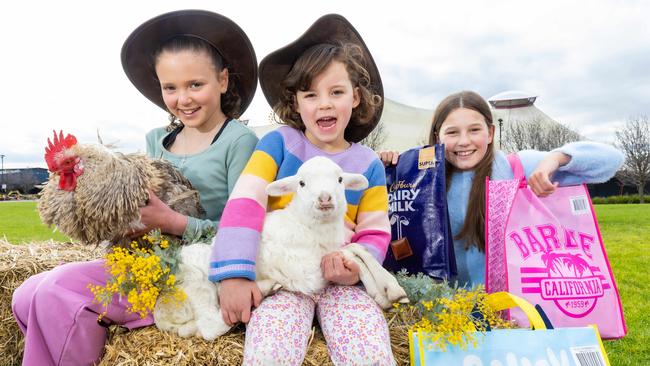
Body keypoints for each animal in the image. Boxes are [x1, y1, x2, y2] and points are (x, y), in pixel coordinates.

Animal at [154, 157, 404, 340]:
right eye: (301, 183)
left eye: (340, 179)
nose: (325, 198)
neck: (306, 225)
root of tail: (161, 311)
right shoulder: (305, 271)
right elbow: (351, 251)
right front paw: (389, 290)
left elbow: (358, 250)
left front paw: (386, 290)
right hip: (198, 285)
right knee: (210, 327)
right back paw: (262, 289)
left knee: (194, 328)